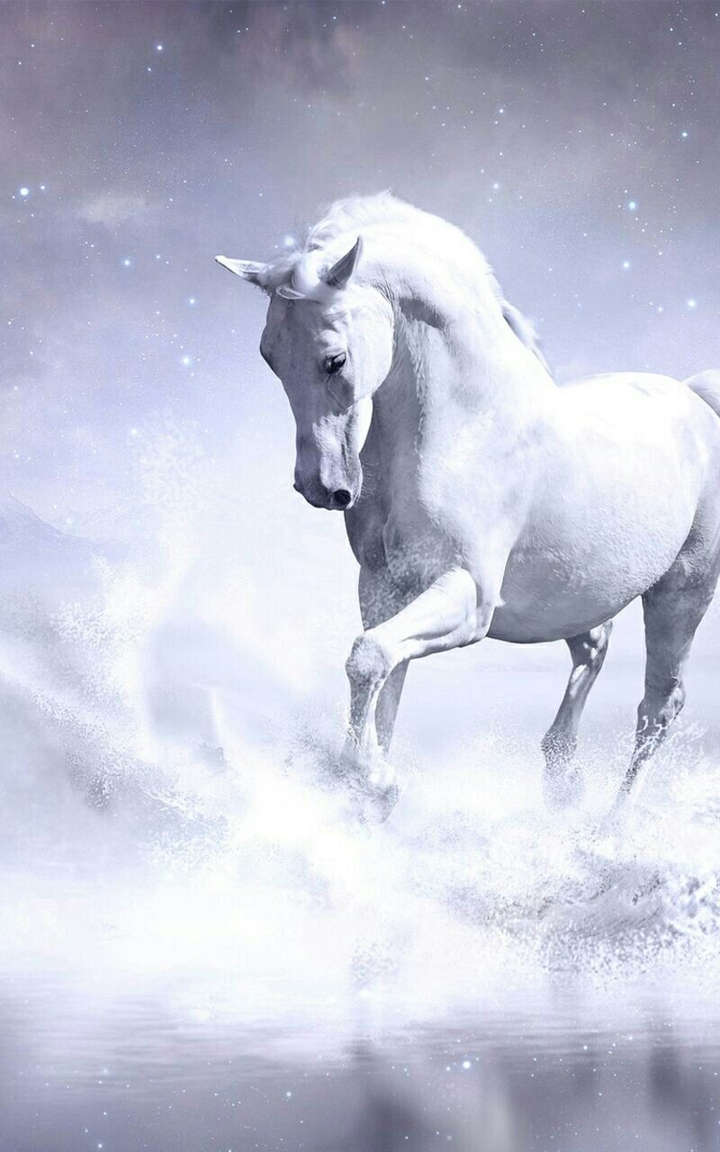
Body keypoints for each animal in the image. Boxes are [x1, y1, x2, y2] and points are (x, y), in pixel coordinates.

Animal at [216, 192, 720, 822]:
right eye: (269, 357)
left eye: (334, 360)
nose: (322, 487)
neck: (465, 427)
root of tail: (696, 400)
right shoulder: (386, 590)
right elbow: (385, 677)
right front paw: (372, 790)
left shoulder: (467, 596)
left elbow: (368, 659)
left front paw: (373, 779)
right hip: (573, 595)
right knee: (595, 648)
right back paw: (563, 780)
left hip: (682, 591)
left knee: (659, 707)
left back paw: (611, 826)